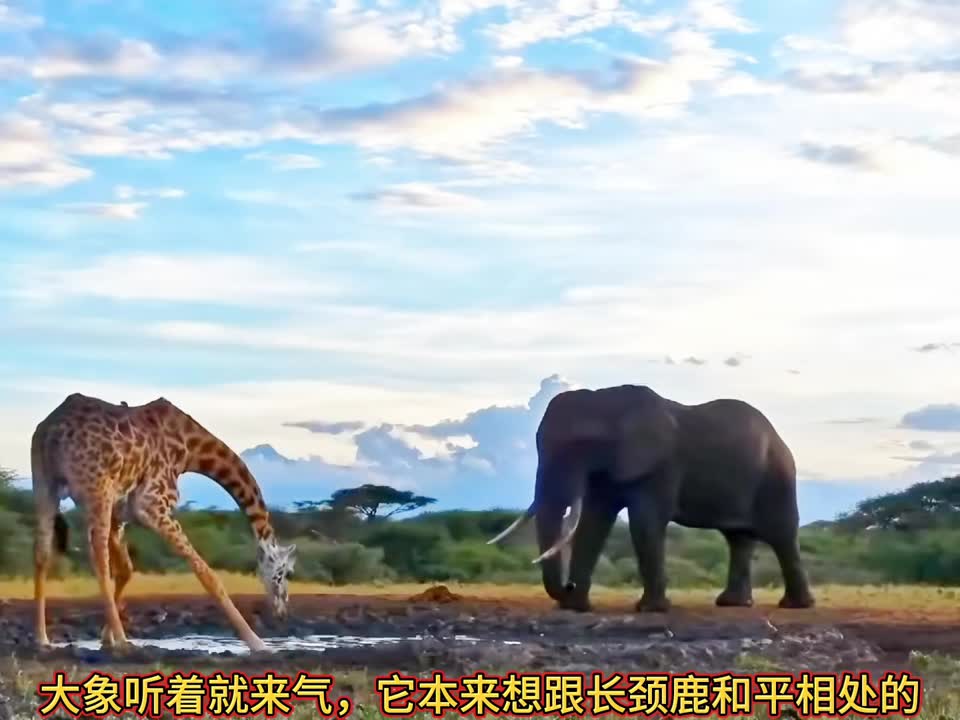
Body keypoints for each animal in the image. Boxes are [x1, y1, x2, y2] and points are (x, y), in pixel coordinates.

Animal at [488, 384, 815, 613]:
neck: (607, 399)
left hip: (777, 475)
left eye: (582, 445)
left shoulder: (661, 465)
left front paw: (651, 610)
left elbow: (645, 522)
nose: (568, 586)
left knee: (781, 534)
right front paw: (576, 608)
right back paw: (732, 604)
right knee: (738, 538)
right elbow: (594, 521)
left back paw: (795, 606)